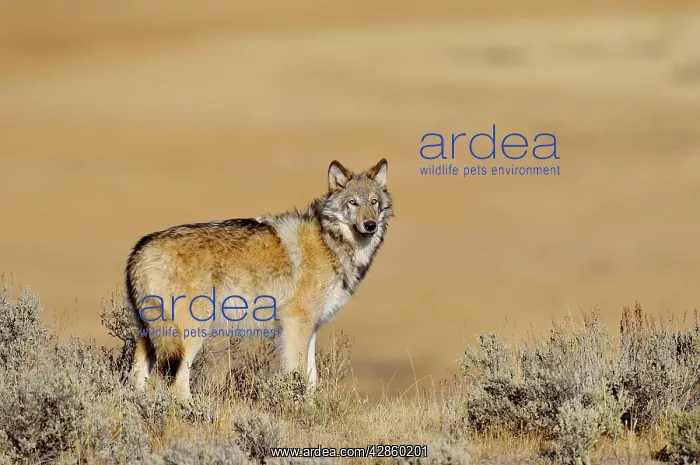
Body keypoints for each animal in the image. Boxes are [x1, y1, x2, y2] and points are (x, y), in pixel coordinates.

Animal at [126, 159, 393, 399]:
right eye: (353, 203)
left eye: (373, 202)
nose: (370, 225)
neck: (329, 242)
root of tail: (142, 248)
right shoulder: (297, 323)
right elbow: (298, 374)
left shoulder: (311, 326)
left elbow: (312, 378)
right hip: (192, 332)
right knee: (177, 385)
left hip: (153, 334)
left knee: (137, 374)